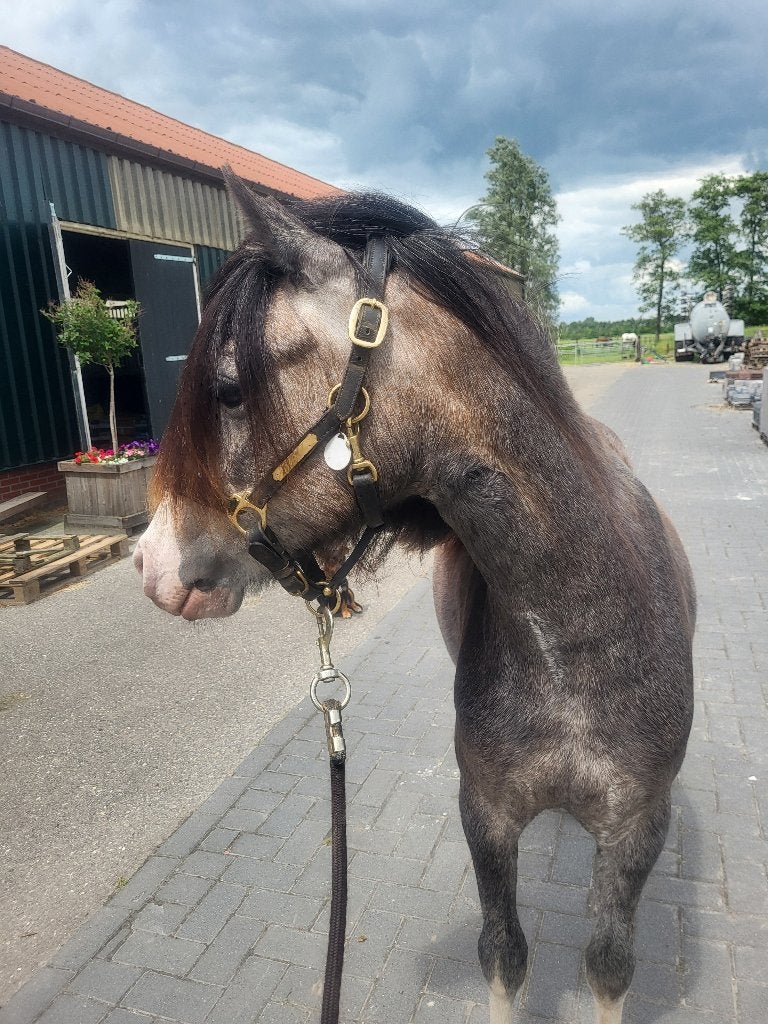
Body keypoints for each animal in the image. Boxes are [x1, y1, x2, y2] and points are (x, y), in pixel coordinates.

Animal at [135, 178, 695, 1024]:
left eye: (229, 388)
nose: (150, 563)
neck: (578, 635)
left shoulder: (635, 829)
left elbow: (608, 967)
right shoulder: (486, 817)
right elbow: (505, 955)